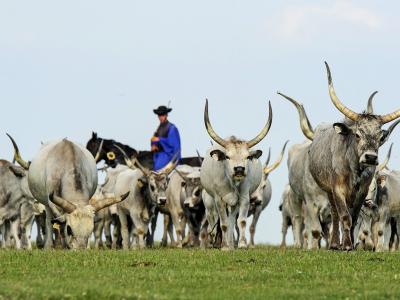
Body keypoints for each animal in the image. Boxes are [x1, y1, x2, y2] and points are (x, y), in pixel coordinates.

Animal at [200, 99, 272, 250]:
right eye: (227, 156)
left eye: (247, 157)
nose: (239, 169)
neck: (232, 182)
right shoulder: (219, 199)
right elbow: (223, 224)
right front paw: (224, 246)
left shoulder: (244, 198)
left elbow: (241, 222)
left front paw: (242, 244)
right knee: (217, 223)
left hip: (234, 204)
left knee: (232, 220)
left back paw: (231, 243)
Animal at [280, 62, 400, 250]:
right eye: (357, 134)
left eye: (380, 137)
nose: (371, 158)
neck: (354, 170)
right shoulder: (337, 190)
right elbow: (344, 216)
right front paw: (347, 245)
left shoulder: (362, 193)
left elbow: (354, 218)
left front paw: (350, 243)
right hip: (326, 191)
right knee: (335, 214)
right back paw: (335, 244)